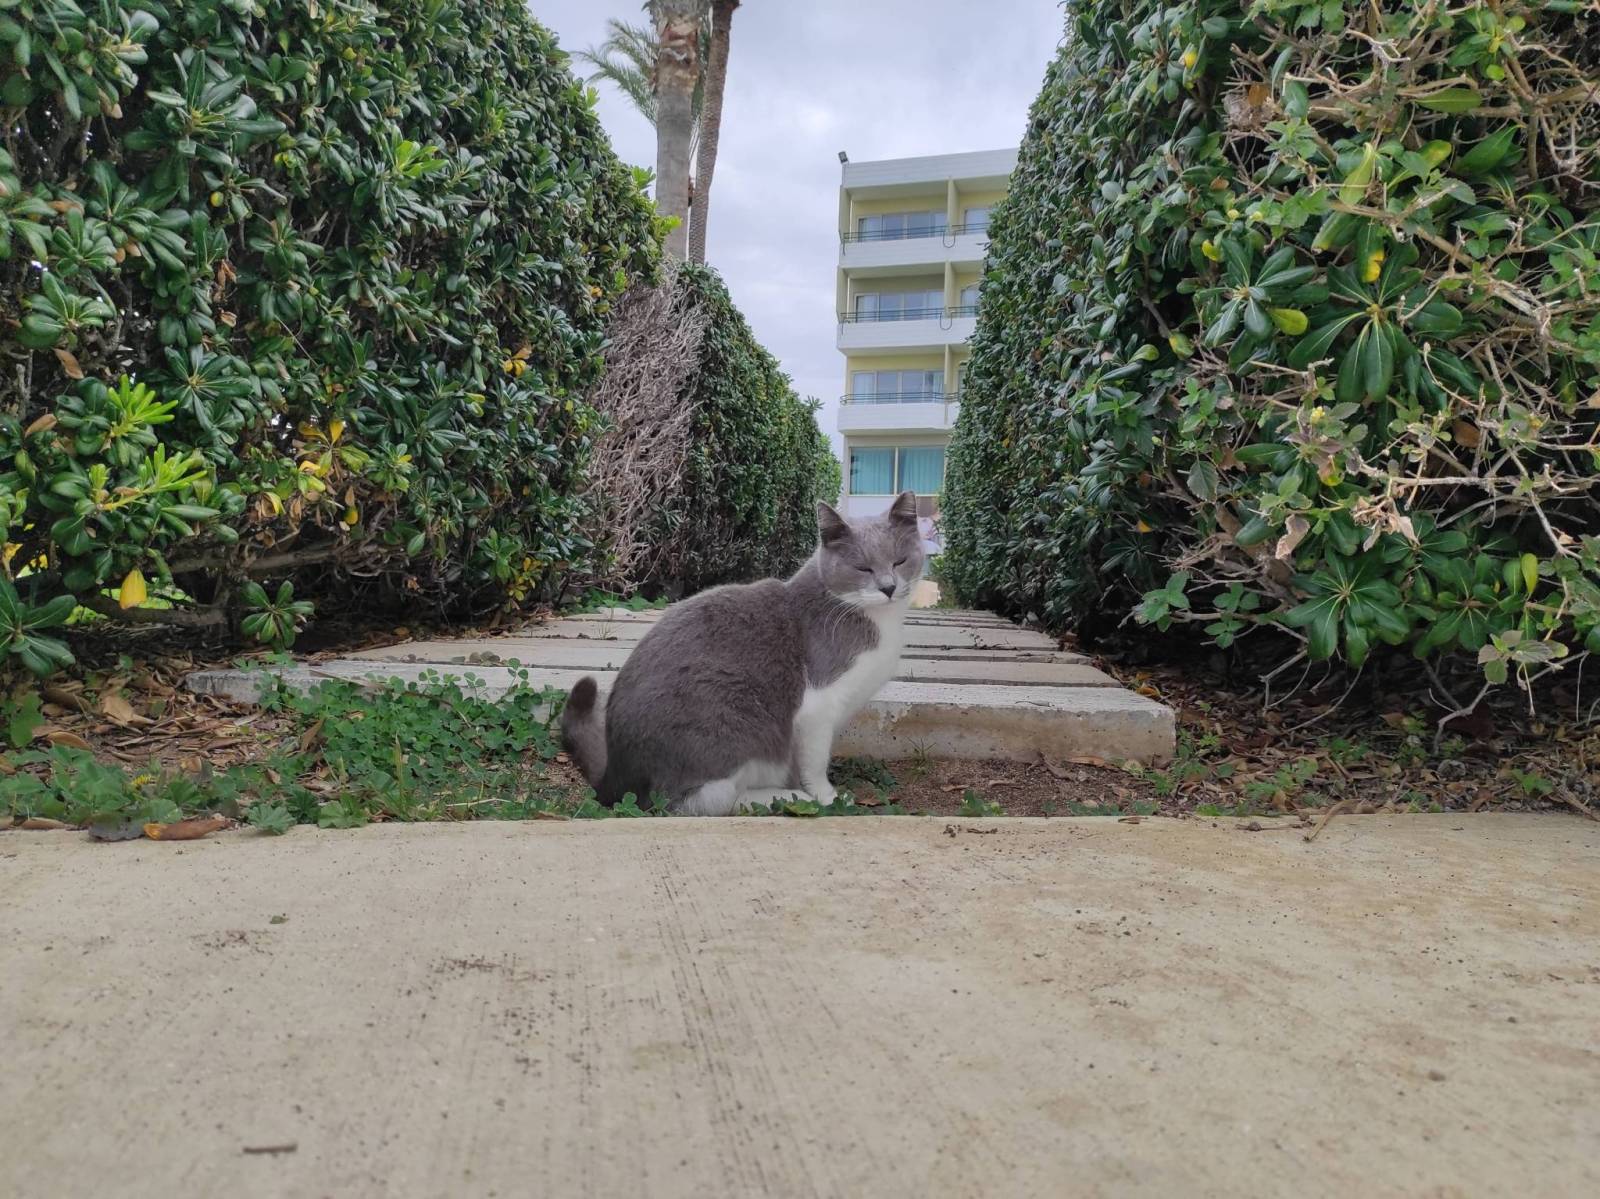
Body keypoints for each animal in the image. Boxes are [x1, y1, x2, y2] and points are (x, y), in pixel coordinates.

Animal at [561, 490, 925, 815]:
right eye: (863, 568)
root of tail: (615, 776)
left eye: (900, 561)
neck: (878, 620)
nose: (889, 587)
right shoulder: (817, 706)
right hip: (727, 715)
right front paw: (826, 796)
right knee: (696, 801)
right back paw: (786, 797)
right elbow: (815, 761)